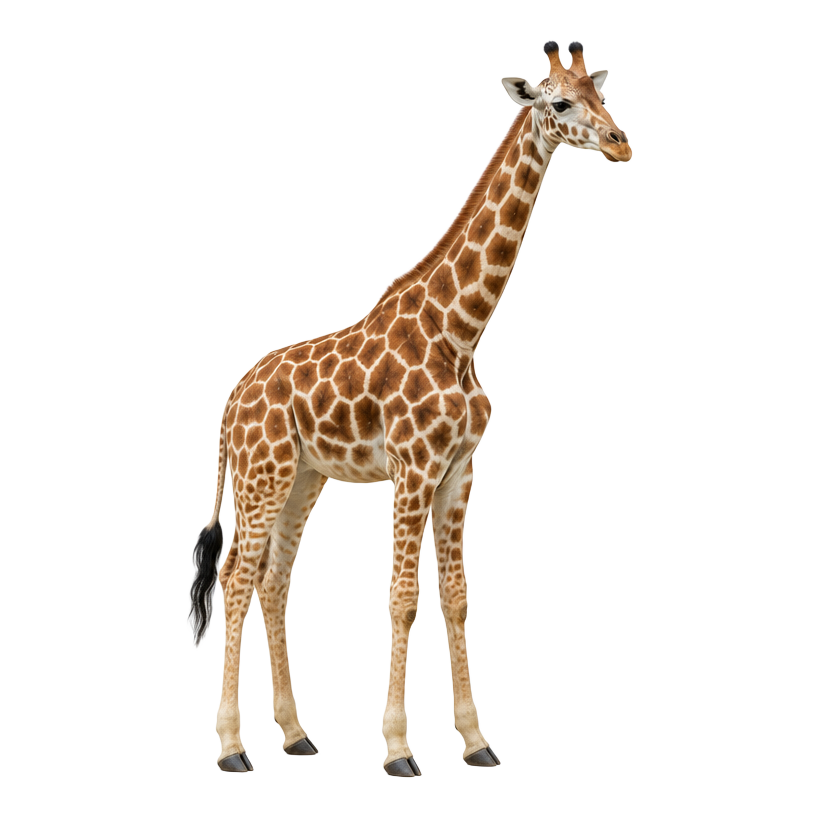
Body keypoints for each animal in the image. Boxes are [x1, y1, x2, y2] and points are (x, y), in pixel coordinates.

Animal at [188, 39, 631, 777]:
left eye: (603, 96)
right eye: (562, 103)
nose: (621, 143)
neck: (461, 329)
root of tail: (230, 404)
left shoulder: (457, 471)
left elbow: (454, 598)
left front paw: (477, 741)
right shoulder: (413, 466)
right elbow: (401, 598)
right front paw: (398, 749)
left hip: (303, 476)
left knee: (273, 581)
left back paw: (296, 734)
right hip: (261, 473)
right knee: (236, 575)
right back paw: (231, 749)